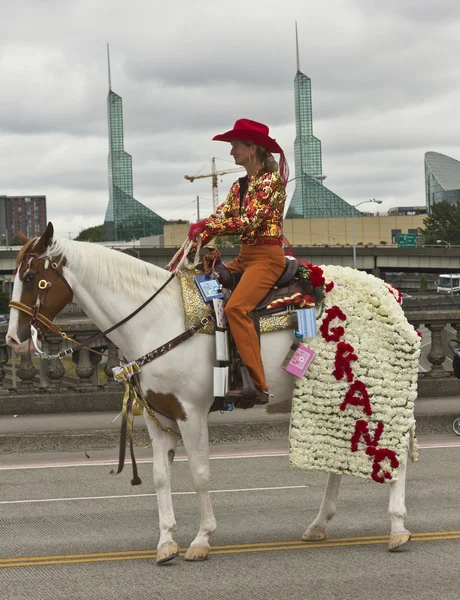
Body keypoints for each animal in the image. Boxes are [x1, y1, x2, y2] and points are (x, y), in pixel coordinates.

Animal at [4, 224, 414, 564]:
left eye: (31, 276)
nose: (14, 339)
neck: (156, 322)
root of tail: (386, 291)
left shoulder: (190, 412)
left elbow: (199, 474)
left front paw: (201, 539)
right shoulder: (158, 415)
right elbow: (160, 477)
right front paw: (166, 542)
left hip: (372, 387)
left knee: (395, 448)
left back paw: (397, 527)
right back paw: (319, 523)